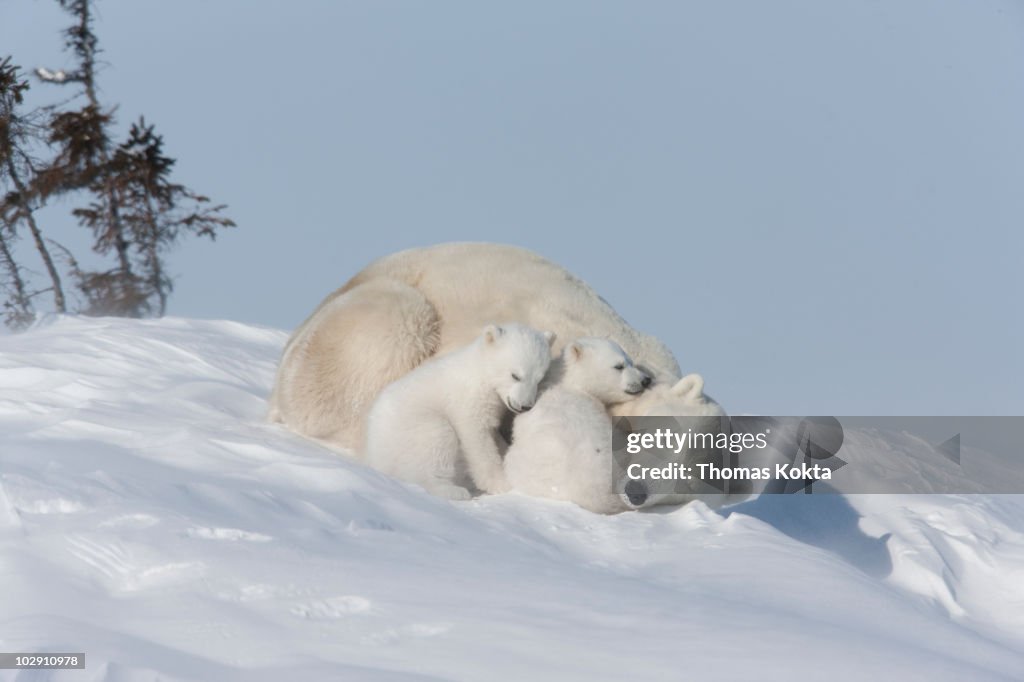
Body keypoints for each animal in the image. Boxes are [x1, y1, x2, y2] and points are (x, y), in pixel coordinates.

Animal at [363, 323, 555, 501]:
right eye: (515, 375)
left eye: (539, 379)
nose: (525, 406)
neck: (480, 372)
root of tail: (373, 454)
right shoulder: (468, 398)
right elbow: (476, 438)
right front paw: (502, 484)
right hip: (410, 428)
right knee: (436, 438)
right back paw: (453, 490)